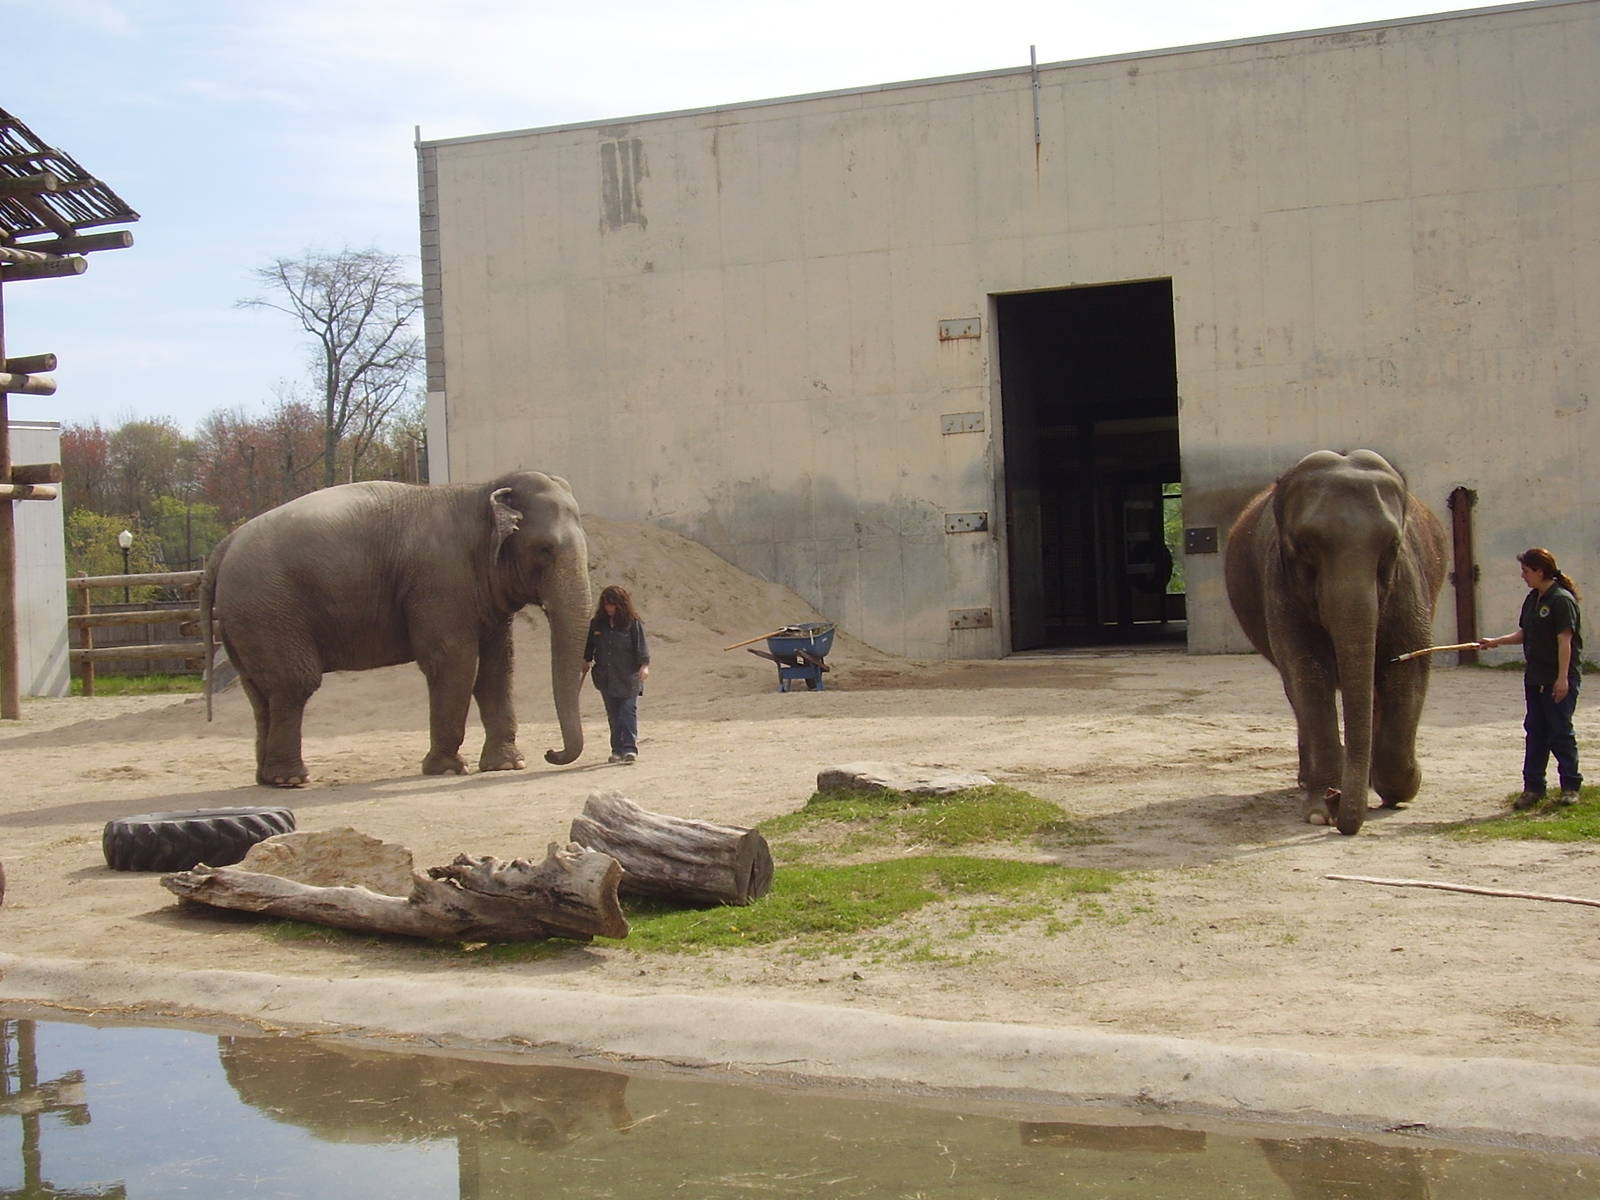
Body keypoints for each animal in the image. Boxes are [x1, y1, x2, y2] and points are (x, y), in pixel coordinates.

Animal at [200, 470, 591, 787]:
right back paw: (291, 780)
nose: (551, 753)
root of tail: (223, 547)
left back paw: (267, 778)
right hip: (270, 611)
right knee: (294, 683)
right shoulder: (440, 582)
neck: (480, 490)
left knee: (259, 693)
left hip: (248, 620)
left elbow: (498, 667)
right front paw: (447, 769)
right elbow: (454, 661)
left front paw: (507, 765)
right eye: (545, 549)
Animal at [1224, 450, 1448, 835]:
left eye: (1393, 545)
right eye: (1305, 546)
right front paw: (1320, 812)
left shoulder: (1407, 582)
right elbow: (1307, 673)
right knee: (1296, 690)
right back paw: (1309, 780)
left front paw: (1403, 787)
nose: (1335, 800)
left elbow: (1409, 665)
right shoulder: (1279, 585)